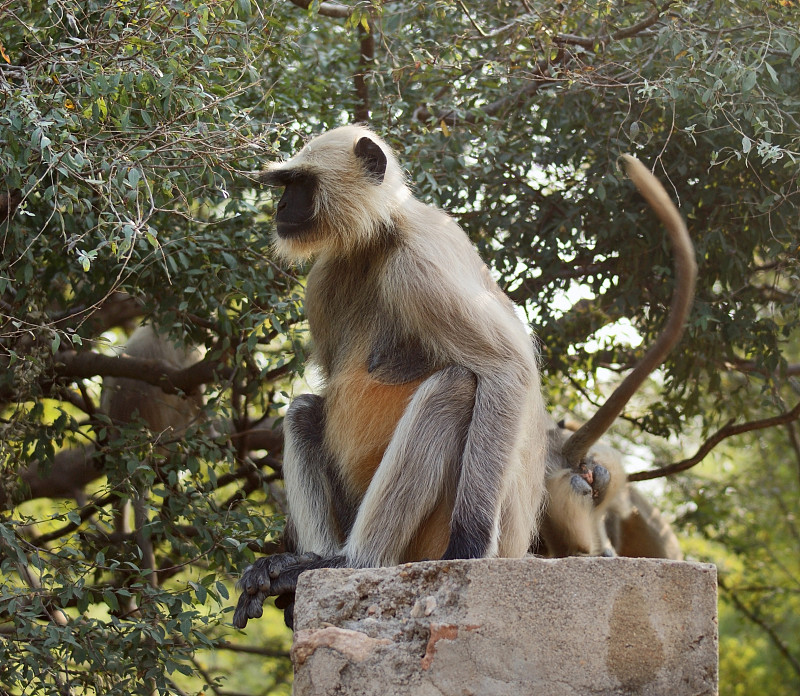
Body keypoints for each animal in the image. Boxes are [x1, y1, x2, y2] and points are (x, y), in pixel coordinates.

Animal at [231, 126, 692, 632]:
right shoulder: (324, 279)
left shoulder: (422, 261)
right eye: (285, 185)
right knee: (304, 410)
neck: (377, 240)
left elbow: (506, 370)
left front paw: (468, 548)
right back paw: (306, 571)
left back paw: (352, 562)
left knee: (454, 386)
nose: (280, 208)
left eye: (301, 185)